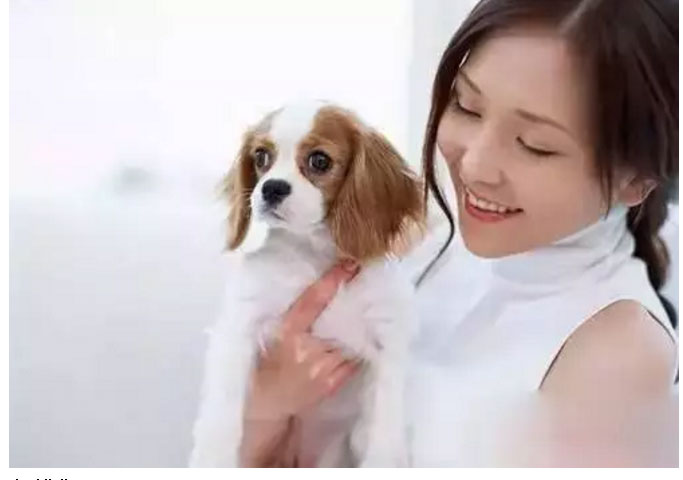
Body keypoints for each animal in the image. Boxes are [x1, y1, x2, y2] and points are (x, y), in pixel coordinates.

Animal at [189, 100, 423, 467]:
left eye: (319, 161)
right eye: (261, 157)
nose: (271, 187)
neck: (315, 256)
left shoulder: (387, 345)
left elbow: (385, 429)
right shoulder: (239, 326)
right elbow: (222, 408)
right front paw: (214, 458)